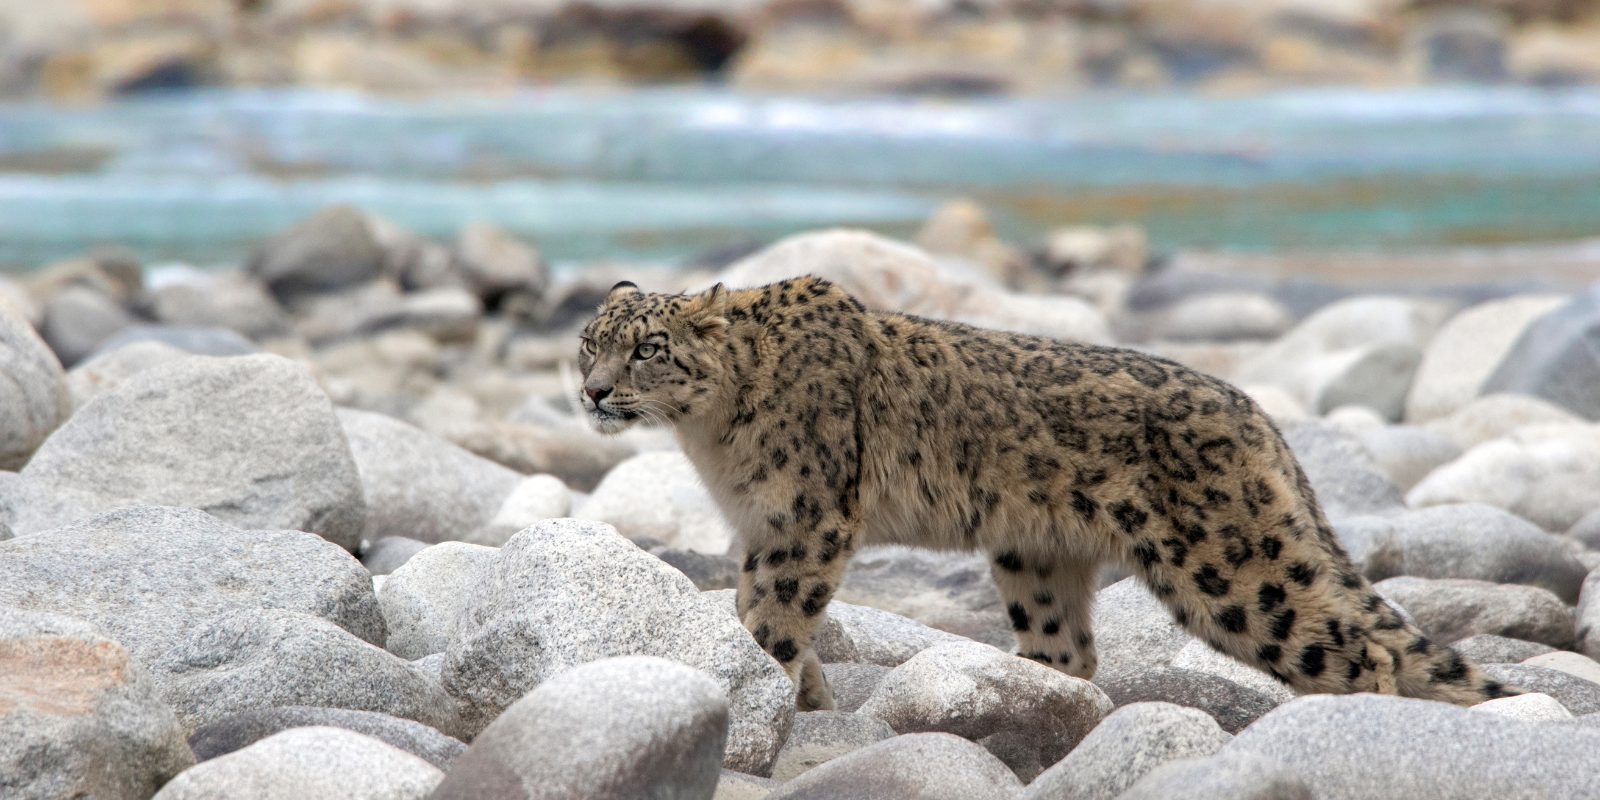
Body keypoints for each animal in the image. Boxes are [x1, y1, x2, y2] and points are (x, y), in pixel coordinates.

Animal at [577, 275, 1519, 712]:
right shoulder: (764, 527)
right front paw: (796, 695)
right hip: (1036, 558)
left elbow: (771, 619)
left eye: (649, 348)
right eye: (589, 340)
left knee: (1364, 655)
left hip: (1238, 578)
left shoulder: (806, 522)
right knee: (1071, 654)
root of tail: (1258, 415)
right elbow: (752, 608)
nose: (591, 392)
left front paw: (767, 695)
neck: (711, 440)